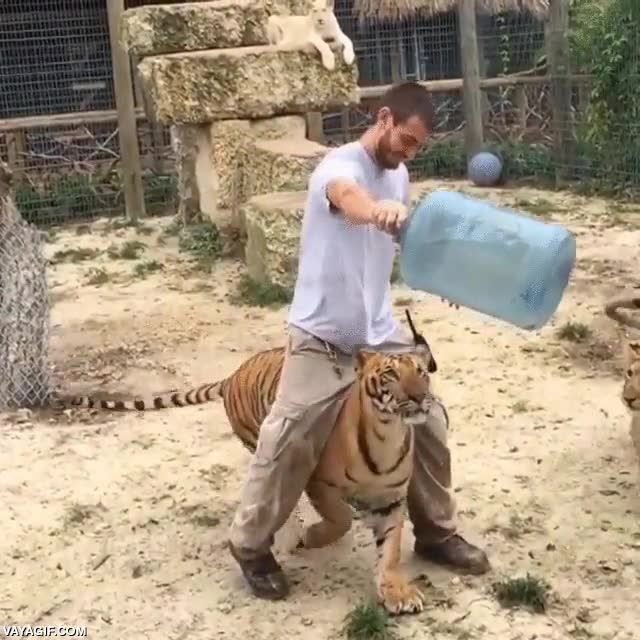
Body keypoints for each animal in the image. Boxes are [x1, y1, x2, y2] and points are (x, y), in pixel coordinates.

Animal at [52, 310, 439, 613]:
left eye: (422, 372)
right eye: (390, 375)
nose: (421, 397)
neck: (388, 435)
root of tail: (232, 375)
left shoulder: (390, 498)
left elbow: (390, 549)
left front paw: (397, 593)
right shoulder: (319, 482)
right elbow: (339, 518)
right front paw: (312, 537)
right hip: (267, 443)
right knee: (273, 494)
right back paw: (286, 534)